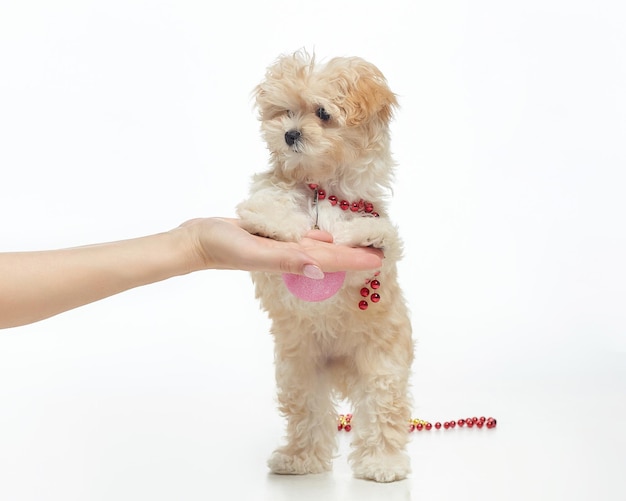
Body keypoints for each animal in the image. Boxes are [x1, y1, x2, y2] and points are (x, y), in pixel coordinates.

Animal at [236, 49, 412, 480]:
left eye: (322, 113)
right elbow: (272, 210)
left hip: (381, 369)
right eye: (284, 111)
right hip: (299, 372)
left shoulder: (372, 267)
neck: (322, 187)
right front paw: (267, 222)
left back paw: (381, 463)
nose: (290, 134)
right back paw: (298, 459)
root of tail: (339, 365)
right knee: (308, 416)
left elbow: (382, 244)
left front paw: (369, 235)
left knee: (383, 413)